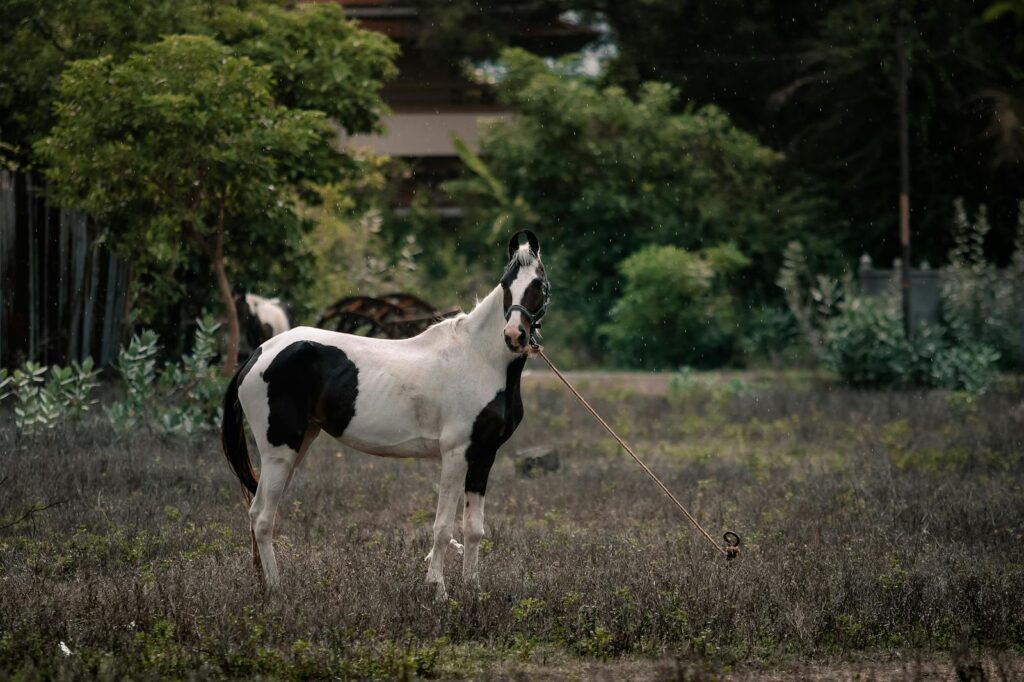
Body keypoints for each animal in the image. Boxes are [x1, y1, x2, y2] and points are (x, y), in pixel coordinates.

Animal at [221, 230, 550, 597]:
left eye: (538, 284)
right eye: (505, 284)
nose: (514, 335)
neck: (480, 358)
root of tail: (259, 354)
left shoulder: (484, 455)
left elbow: (474, 529)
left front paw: (472, 590)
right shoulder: (456, 454)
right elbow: (442, 527)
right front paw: (438, 590)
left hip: (296, 445)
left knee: (255, 512)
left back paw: (265, 585)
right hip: (279, 450)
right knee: (264, 518)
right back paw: (278, 590)